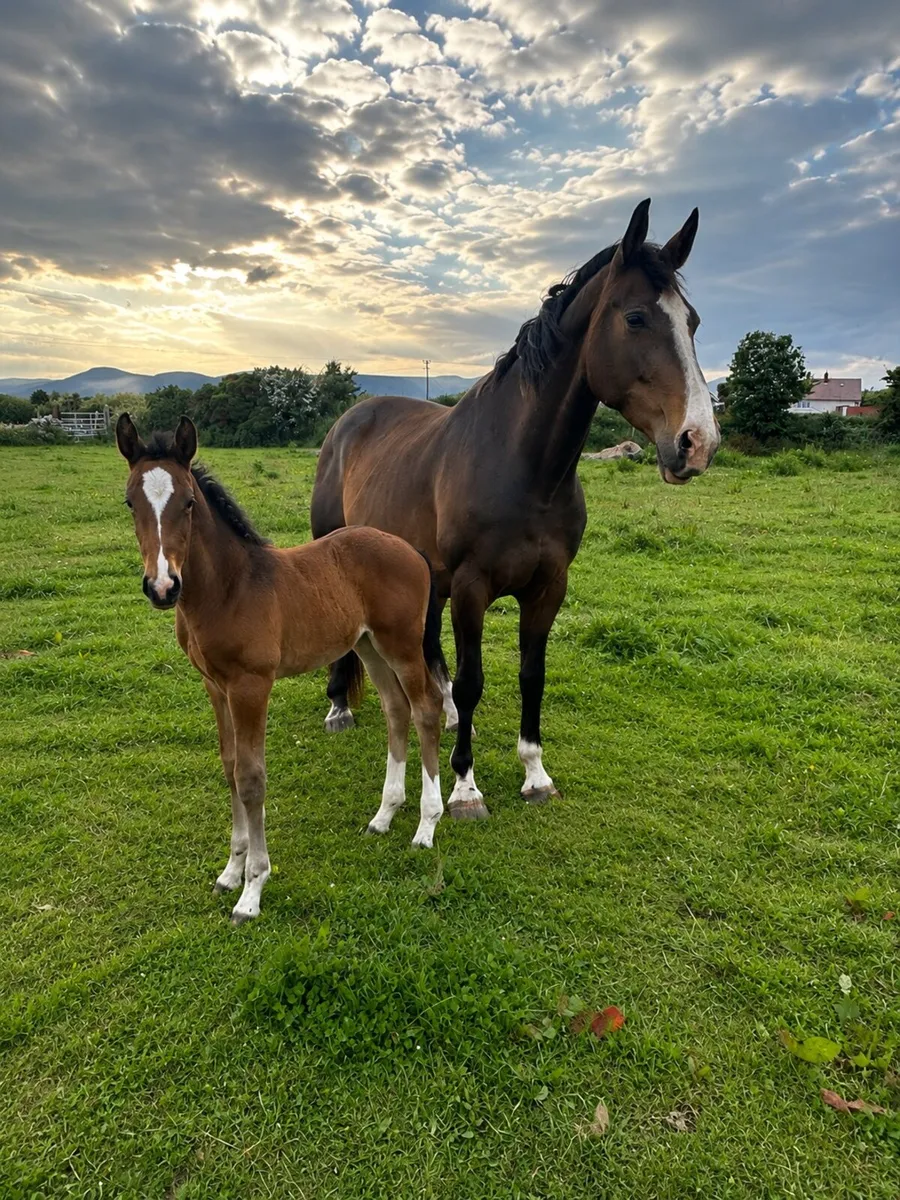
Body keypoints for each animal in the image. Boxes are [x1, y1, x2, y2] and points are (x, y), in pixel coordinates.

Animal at [116, 414, 449, 924]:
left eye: (188, 502)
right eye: (130, 501)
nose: (163, 586)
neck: (229, 588)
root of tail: (412, 551)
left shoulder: (251, 685)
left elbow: (252, 778)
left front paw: (252, 889)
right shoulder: (215, 686)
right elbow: (230, 767)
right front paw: (230, 872)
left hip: (402, 644)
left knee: (426, 708)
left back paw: (427, 825)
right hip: (368, 645)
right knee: (397, 709)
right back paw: (384, 815)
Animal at [310, 197, 719, 821]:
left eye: (691, 321)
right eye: (635, 318)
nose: (697, 442)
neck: (525, 470)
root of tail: (349, 420)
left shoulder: (548, 586)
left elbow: (532, 674)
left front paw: (534, 773)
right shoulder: (473, 586)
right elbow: (476, 679)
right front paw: (464, 787)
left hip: (423, 574)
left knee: (429, 648)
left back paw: (443, 712)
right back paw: (341, 708)